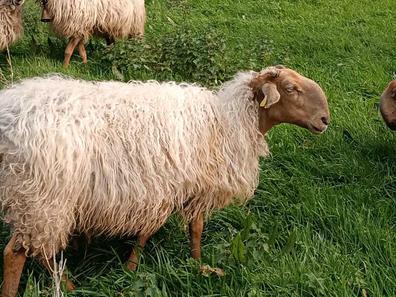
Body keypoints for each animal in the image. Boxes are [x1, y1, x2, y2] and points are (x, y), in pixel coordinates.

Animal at [1, 65, 330, 294]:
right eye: (290, 88)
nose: (325, 119)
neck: (228, 120)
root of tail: (9, 119)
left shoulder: (172, 187)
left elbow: (162, 230)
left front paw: (140, 266)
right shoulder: (181, 187)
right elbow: (183, 228)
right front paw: (191, 263)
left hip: (36, 199)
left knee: (37, 250)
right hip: (41, 196)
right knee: (21, 253)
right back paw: (62, 288)